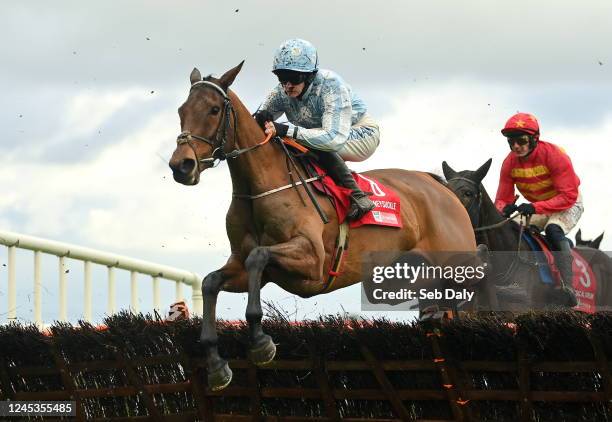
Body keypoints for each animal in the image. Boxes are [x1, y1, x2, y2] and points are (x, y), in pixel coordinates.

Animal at [166, 61, 478, 390]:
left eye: (214, 110)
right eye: (181, 109)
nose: (181, 165)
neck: (263, 185)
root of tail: (441, 186)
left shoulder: (312, 261)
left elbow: (258, 257)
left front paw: (261, 343)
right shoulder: (242, 266)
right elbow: (211, 281)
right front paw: (216, 366)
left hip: (459, 273)